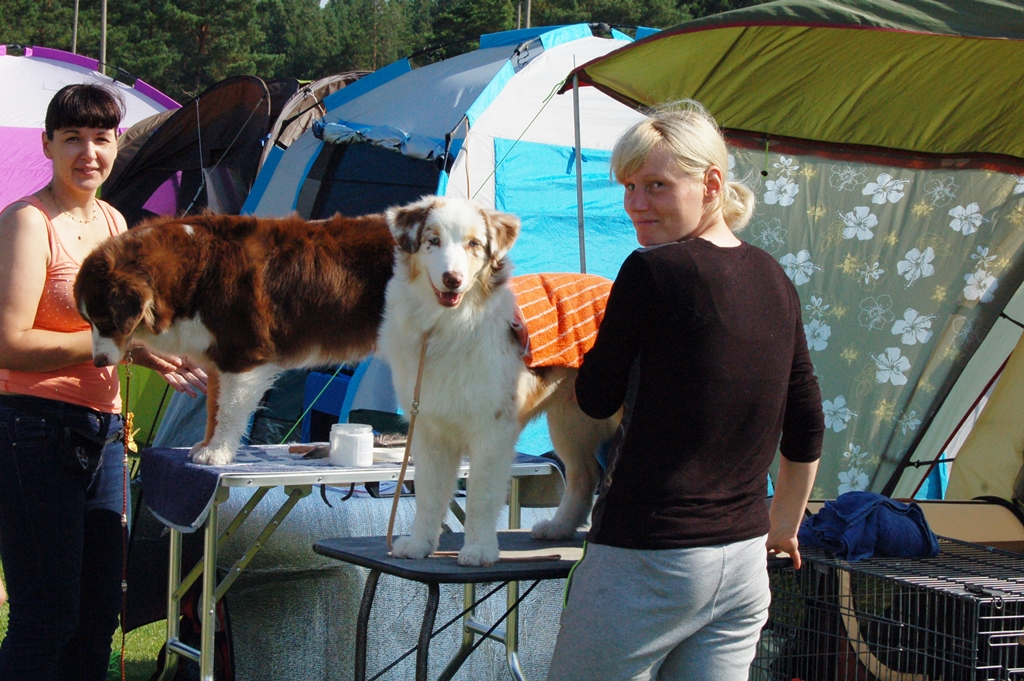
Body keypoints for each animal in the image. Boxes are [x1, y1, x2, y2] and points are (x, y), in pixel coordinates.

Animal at [74, 211, 396, 465]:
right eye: (88, 321)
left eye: (105, 321)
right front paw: (206, 446)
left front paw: (216, 453)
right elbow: (213, 409)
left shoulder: (242, 355)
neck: (194, 272)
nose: (98, 362)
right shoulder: (218, 358)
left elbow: (228, 410)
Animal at [377, 196, 619, 567]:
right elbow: (430, 492)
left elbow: (481, 494)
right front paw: (419, 544)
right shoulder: (430, 428)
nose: (452, 279)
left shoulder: (492, 430)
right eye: (433, 241)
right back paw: (559, 527)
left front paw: (478, 549)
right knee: (584, 474)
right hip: (571, 421)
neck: (447, 325)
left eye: (474, 244)